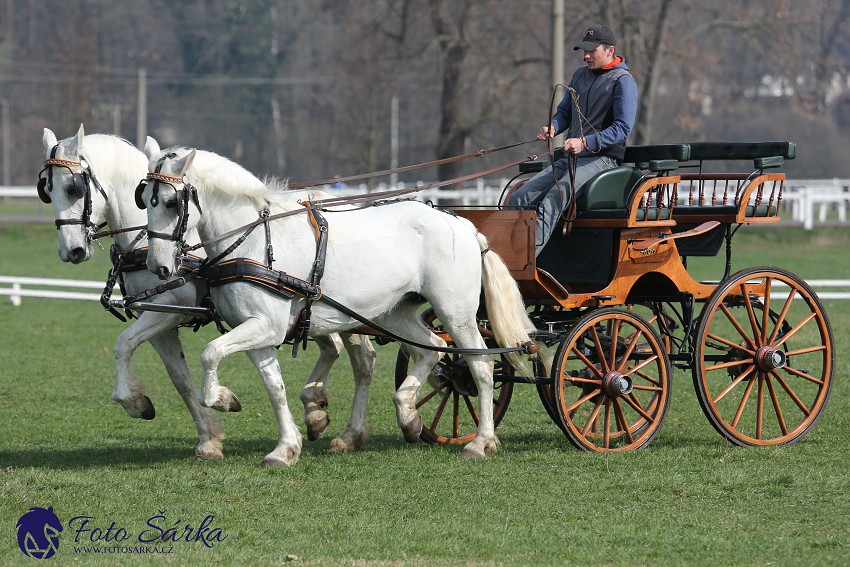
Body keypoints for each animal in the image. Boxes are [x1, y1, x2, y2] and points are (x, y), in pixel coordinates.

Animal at [36, 125, 374, 462]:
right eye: (47, 190)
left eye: (74, 188)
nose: (71, 251)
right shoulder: (159, 317)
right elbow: (168, 373)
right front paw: (205, 436)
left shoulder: (171, 309)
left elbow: (132, 349)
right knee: (334, 348)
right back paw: (317, 411)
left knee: (361, 360)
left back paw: (350, 431)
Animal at [141, 141, 536, 466]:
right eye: (145, 199)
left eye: (173, 202)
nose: (157, 265)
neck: (251, 240)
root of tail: (463, 225)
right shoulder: (256, 329)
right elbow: (274, 387)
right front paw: (286, 448)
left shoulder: (266, 325)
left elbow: (210, 352)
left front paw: (222, 398)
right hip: (394, 313)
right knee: (431, 348)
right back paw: (408, 414)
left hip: (457, 313)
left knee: (480, 366)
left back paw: (481, 441)